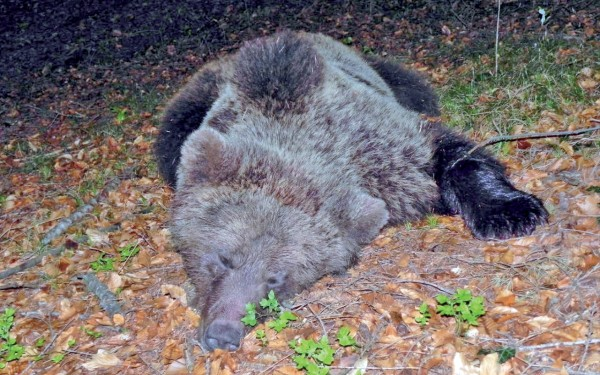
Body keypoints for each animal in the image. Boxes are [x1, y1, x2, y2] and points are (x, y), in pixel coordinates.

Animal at [155, 31, 548, 352]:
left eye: (276, 278)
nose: (223, 334)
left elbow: (451, 154)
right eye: (223, 258)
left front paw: (511, 211)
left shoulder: (382, 147)